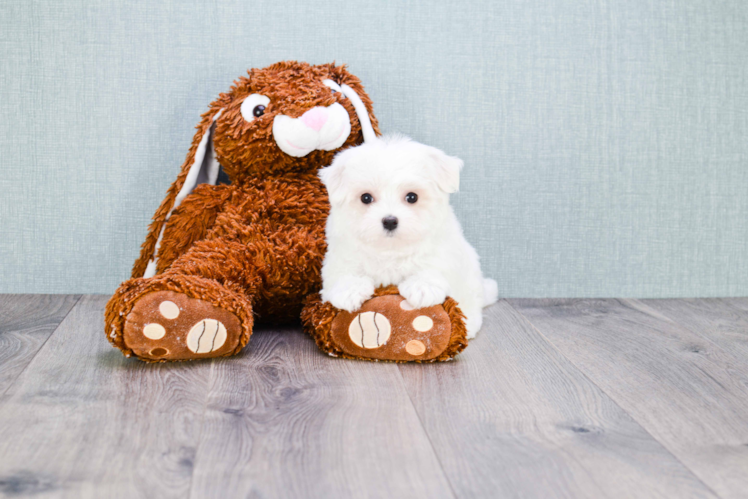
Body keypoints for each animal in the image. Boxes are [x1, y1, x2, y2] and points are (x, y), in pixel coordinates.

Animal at [318, 136, 496, 340]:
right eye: (366, 198)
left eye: (412, 197)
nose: (389, 221)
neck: (390, 249)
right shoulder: (341, 254)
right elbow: (343, 272)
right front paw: (350, 289)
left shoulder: (443, 249)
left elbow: (433, 265)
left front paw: (422, 286)